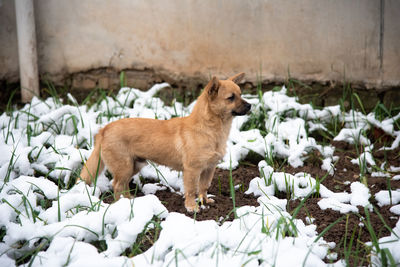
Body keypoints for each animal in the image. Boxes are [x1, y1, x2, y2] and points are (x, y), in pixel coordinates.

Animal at [79, 72, 250, 213]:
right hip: (124, 167)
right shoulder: (192, 170)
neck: (211, 129)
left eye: (241, 95)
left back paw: (130, 202)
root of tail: (104, 129)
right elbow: (191, 190)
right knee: (117, 186)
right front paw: (192, 207)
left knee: (124, 185)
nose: (250, 105)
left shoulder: (209, 168)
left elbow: (203, 187)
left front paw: (205, 201)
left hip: (134, 166)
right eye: (231, 98)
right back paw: (122, 205)